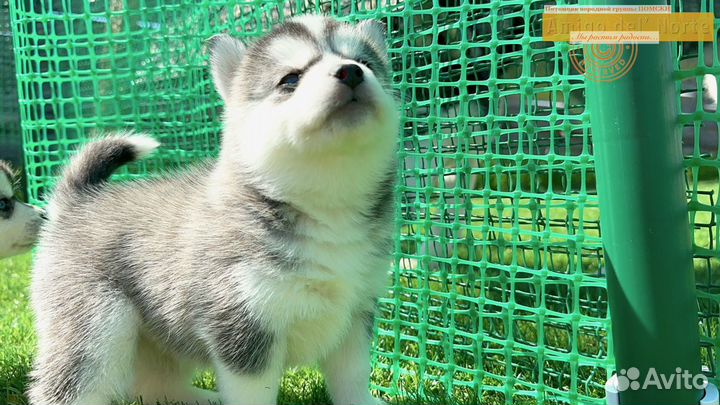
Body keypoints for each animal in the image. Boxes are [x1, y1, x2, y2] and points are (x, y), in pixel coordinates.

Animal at [29, 15, 400, 404]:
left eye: (364, 61)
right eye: (291, 79)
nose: (351, 71)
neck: (326, 202)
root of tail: (79, 199)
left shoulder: (356, 313)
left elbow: (352, 377)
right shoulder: (243, 323)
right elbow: (254, 393)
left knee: (155, 383)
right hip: (98, 326)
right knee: (72, 383)